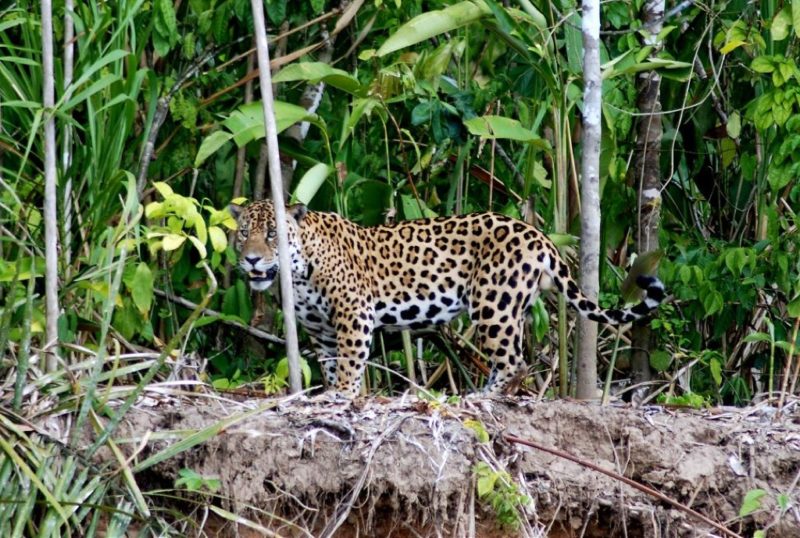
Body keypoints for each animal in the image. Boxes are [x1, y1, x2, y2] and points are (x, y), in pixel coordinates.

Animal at [230, 200, 665, 397]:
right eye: (243, 233)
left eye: (273, 234)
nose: (251, 259)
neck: (300, 272)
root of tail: (539, 236)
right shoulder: (321, 332)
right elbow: (333, 365)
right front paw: (335, 394)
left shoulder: (353, 315)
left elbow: (351, 367)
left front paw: (344, 397)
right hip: (512, 309)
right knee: (510, 359)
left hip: (493, 305)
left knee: (515, 363)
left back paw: (484, 398)